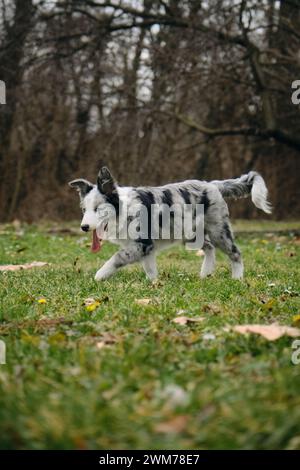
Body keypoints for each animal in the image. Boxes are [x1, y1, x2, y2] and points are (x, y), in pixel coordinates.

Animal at [69, 167, 270, 280]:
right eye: (84, 209)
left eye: (98, 209)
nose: (84, 227)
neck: (123, 210)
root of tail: (212, 185)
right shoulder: (147, 248)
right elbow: (150, 268)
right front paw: (154, 284)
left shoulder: (142, 244)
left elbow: (117, 257)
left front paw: (99, 276)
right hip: (190, 233)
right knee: (209, 248)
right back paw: (205, 274)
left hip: (218, 230)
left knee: (235, 252)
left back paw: (237, 278)